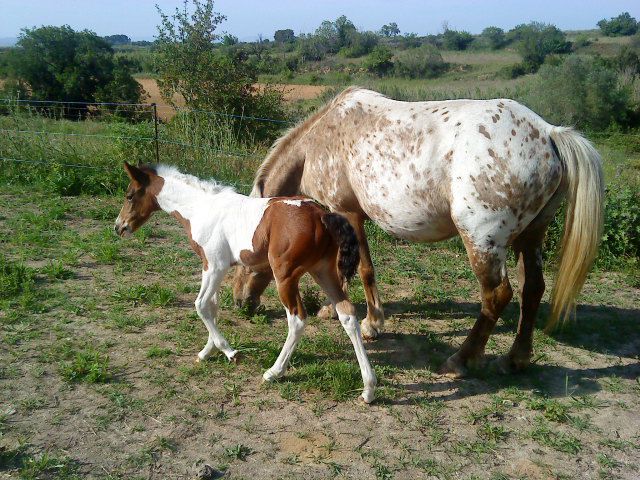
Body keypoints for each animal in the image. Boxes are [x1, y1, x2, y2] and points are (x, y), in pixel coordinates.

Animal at [114, 162, 377, 403]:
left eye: (129, 195)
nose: (119, 227)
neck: (201, 208)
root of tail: (321, 215)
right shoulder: (214, 268)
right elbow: (212, 307)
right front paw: (207, 351)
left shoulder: (214, 265)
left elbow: (201, 305)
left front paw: (229, 351)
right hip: (323, 272)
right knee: (347, 315)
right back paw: (368, 388)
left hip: (285, 277)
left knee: (297, 320)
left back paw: (274, 372)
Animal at [233, 86, 604, 378]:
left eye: (244, 257)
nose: (241, 303)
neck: (318, 143)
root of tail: (549, 133)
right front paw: (332, 308)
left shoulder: (347, 214)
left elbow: (361, 269)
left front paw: (371, 324)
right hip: (532, 236)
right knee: (533, 289)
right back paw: (516, 359)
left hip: (482, 241)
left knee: (497, 296)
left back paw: (461, 360)